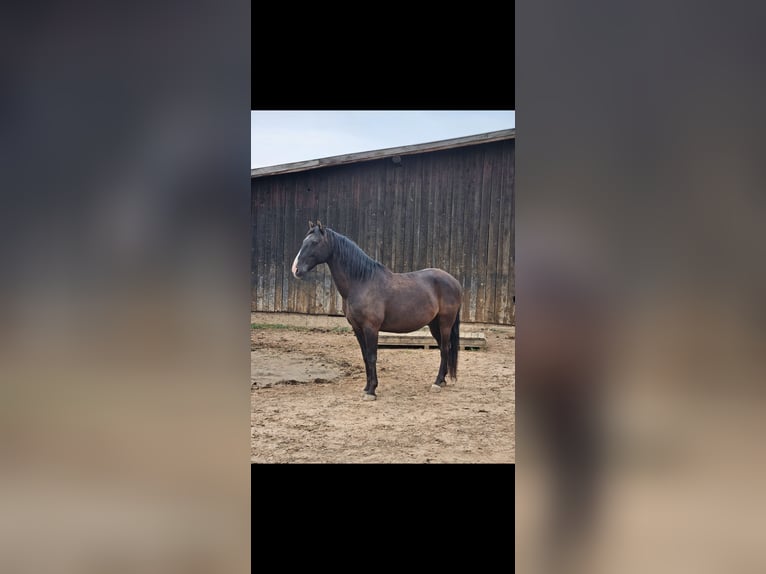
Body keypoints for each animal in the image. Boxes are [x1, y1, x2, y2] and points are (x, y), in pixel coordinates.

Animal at [292, 218, 462, 402]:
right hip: (434, 325)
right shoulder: (357, 328)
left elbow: (372, 356)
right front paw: (366, 388)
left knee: (445, 348)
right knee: (444, 349)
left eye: (314, 242)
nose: (296, 269)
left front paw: (372, 391)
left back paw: (437, 383)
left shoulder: (371, 328)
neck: (361, 282)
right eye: (304, 241)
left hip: (445, 323)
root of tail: (454, 281)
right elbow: (365, 357)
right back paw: (442, 381)